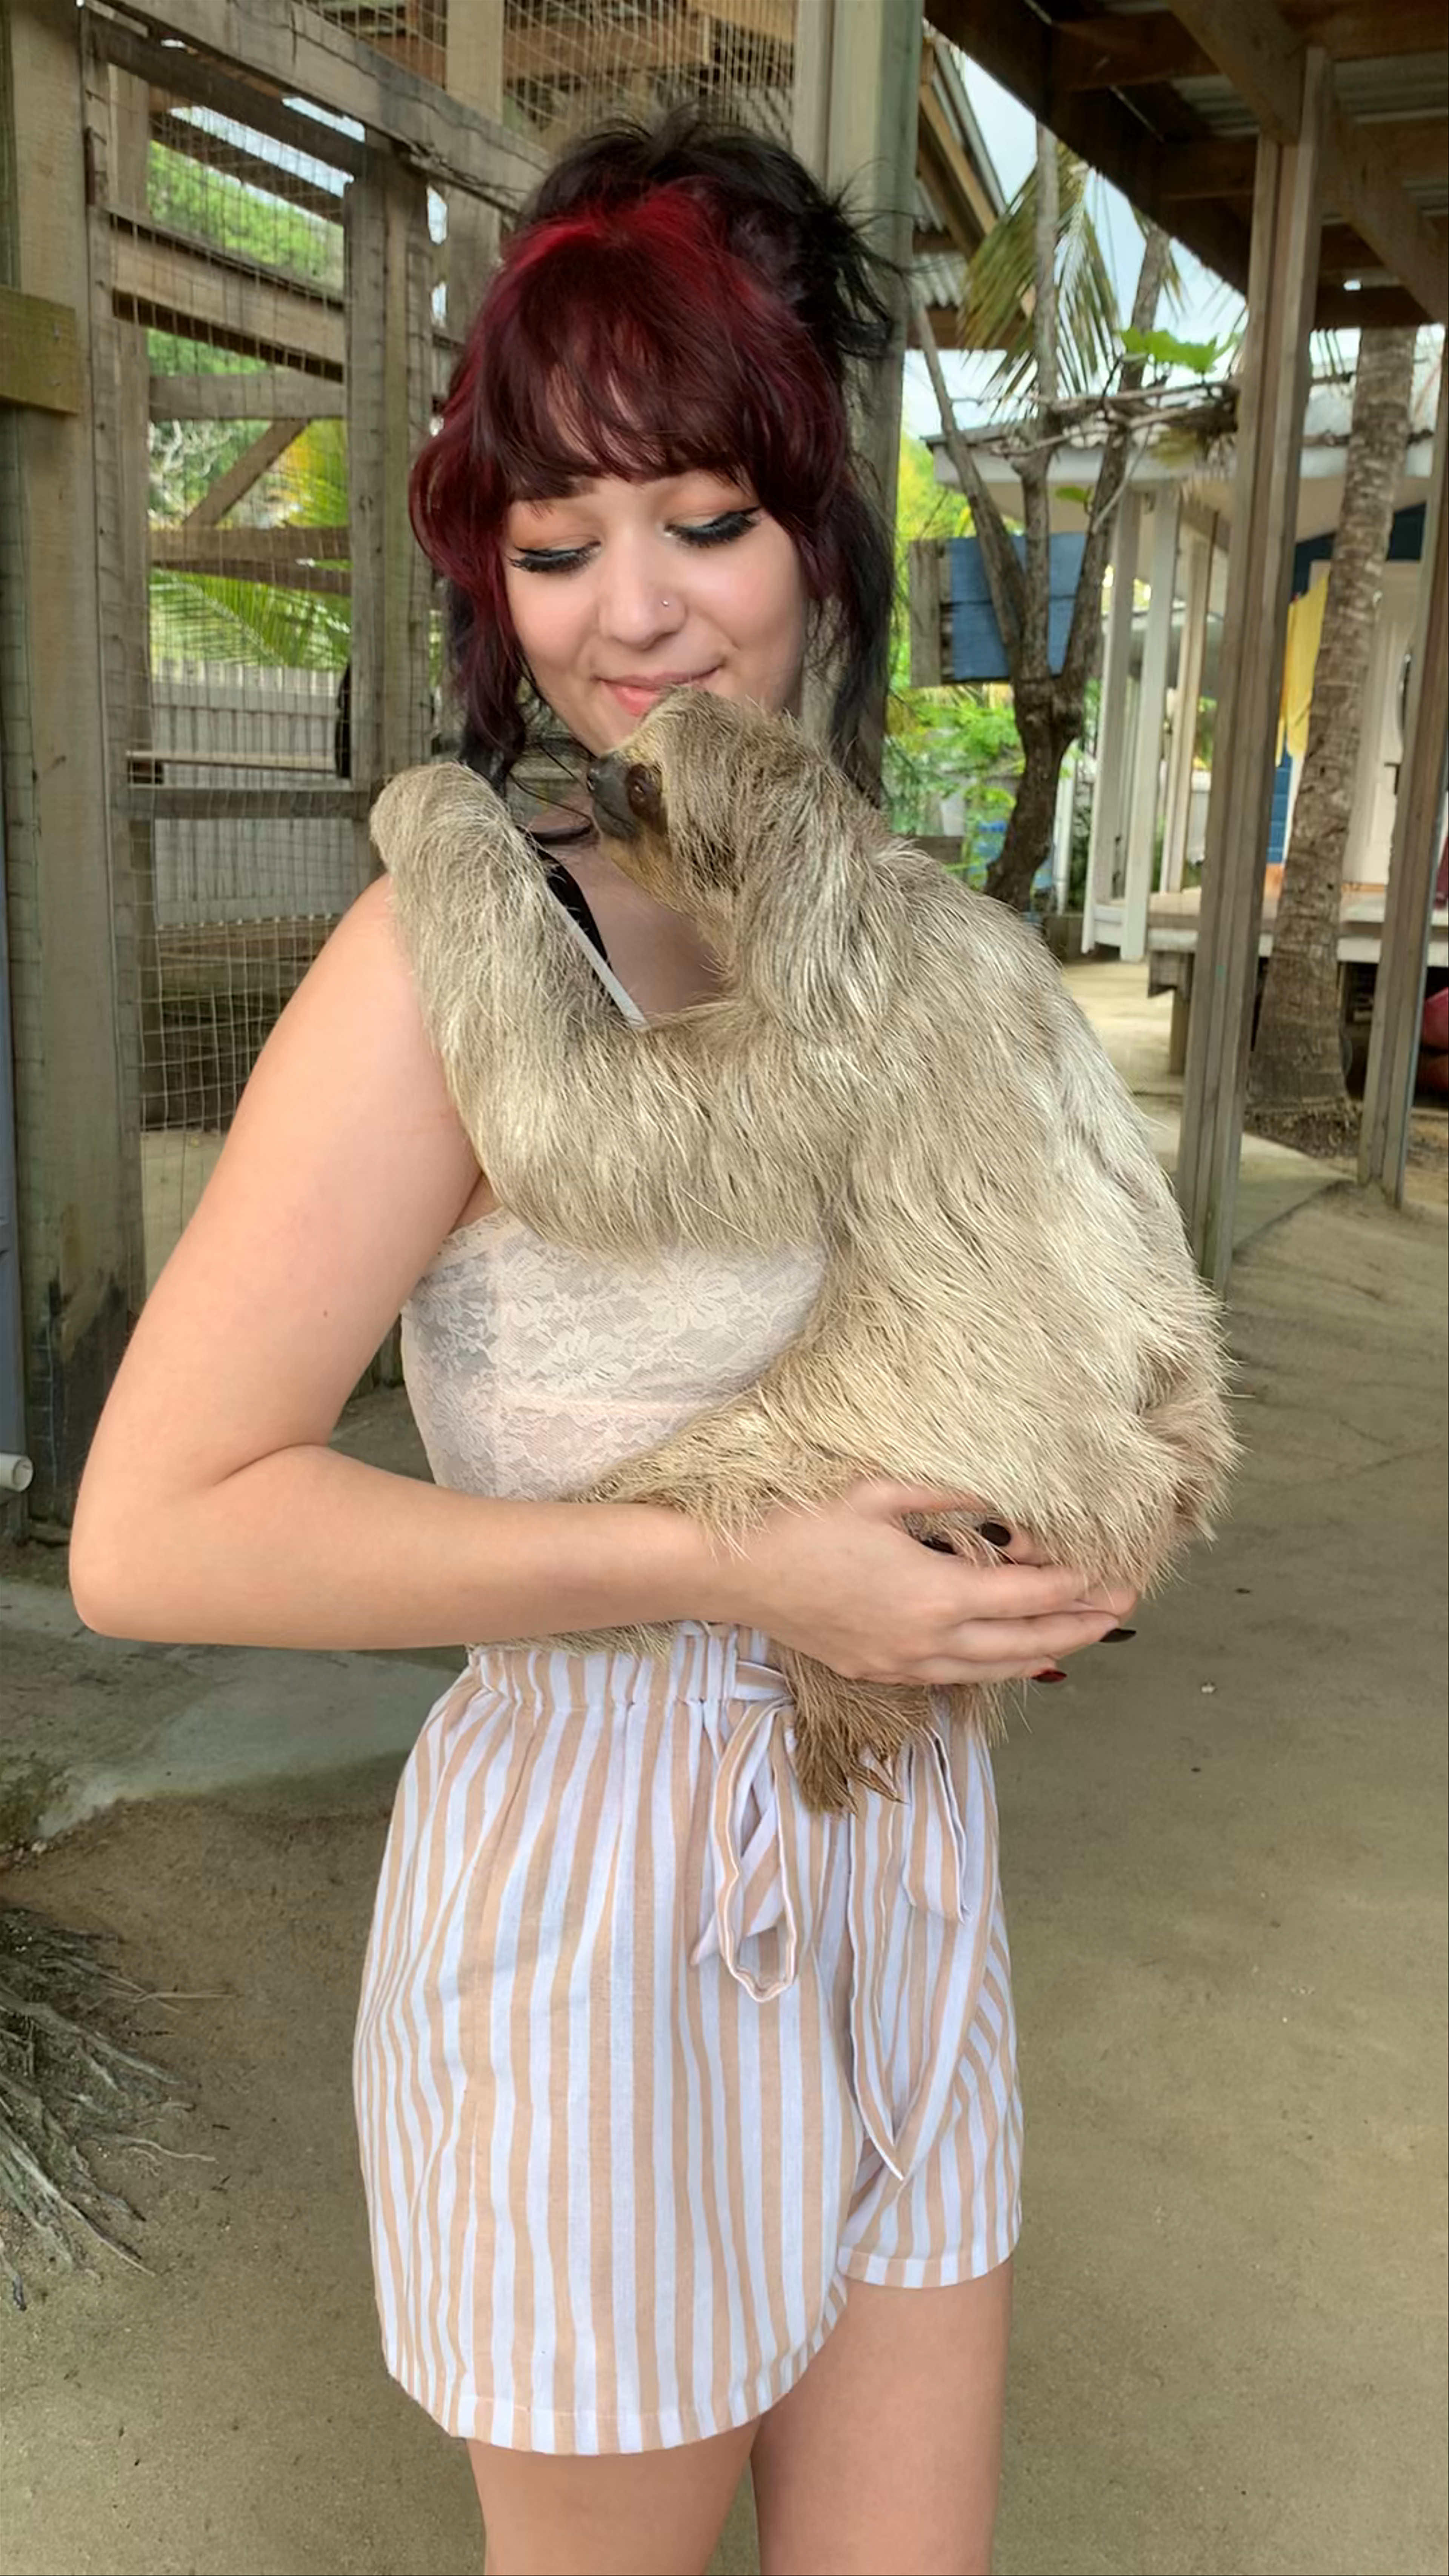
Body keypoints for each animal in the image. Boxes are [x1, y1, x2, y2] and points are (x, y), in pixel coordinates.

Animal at [371, 691, 1236, 1811]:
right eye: (624, 748)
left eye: (643, 780)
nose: (594, 771)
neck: (849, 895)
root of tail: (1147, 1492)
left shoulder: (821, 1048)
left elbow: (571, 1122)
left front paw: (432, 791)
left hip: (924, 1450)